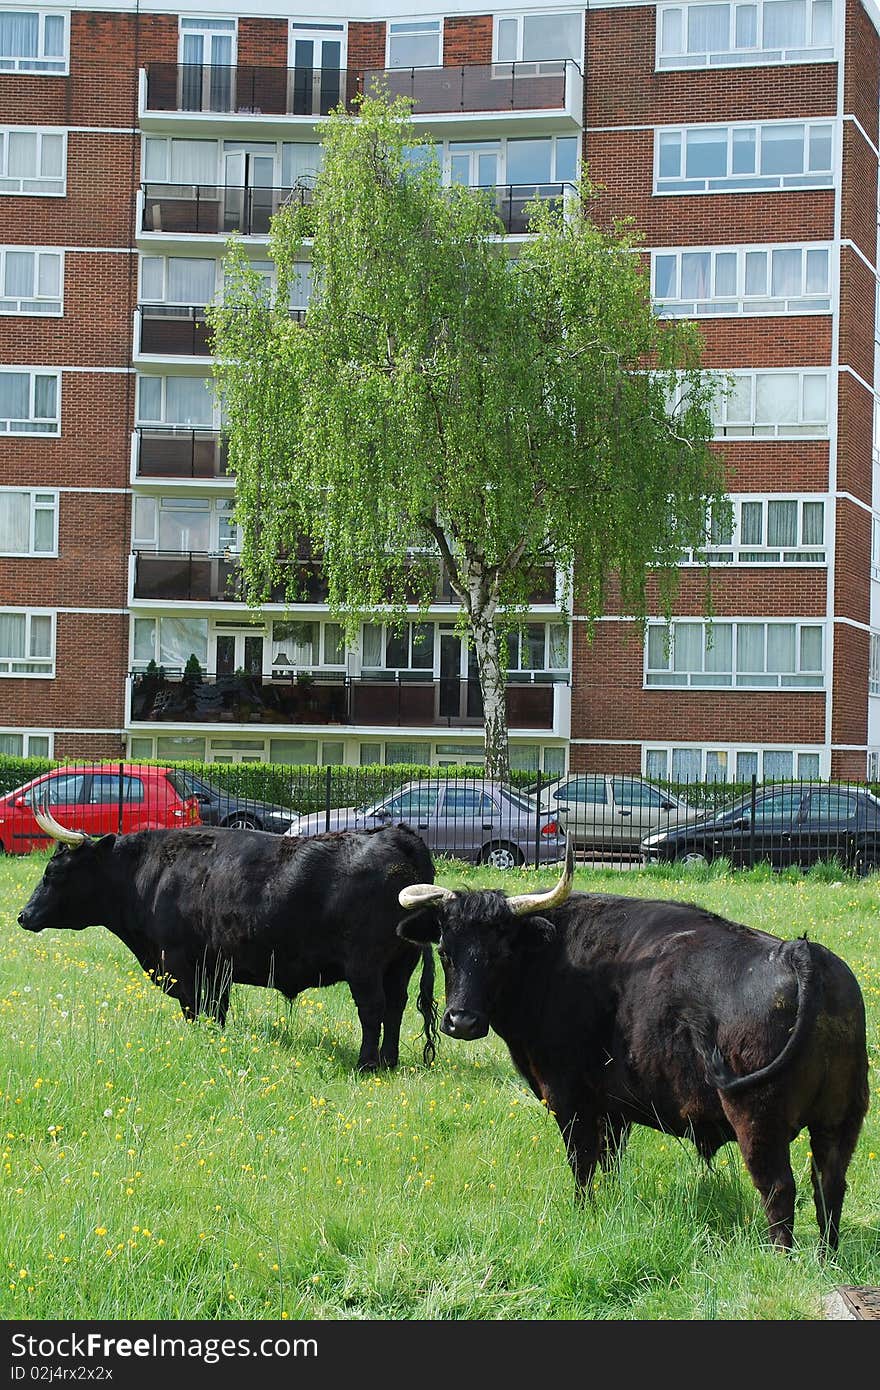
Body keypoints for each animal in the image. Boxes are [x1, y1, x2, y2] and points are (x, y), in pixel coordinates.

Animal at [15, 806, 436, 1073]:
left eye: (54, 872)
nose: (23, 916)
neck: (149, 874)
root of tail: (397, 835)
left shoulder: (181, 962)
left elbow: (195, 1008)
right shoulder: (216, 966)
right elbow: (216, 1010)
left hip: (365, 964)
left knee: (373, 1009)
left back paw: (367, 1065)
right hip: (401, 962)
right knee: (395, 1006)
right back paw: (390, 1061)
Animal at [400, 839, 873, 1256]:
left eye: (500, 953)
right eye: (445, 951)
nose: (461, 1021)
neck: (552, 957)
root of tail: (800, 952)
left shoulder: (570, 1099)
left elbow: (583, 1165)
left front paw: (584, 1213)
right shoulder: (615, 1111)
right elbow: (609, 1166)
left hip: (758, 1120)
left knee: (778, 1187)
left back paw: (781, 1258)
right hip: (841, 1118)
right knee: (829, 1183)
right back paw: (826, 1258)